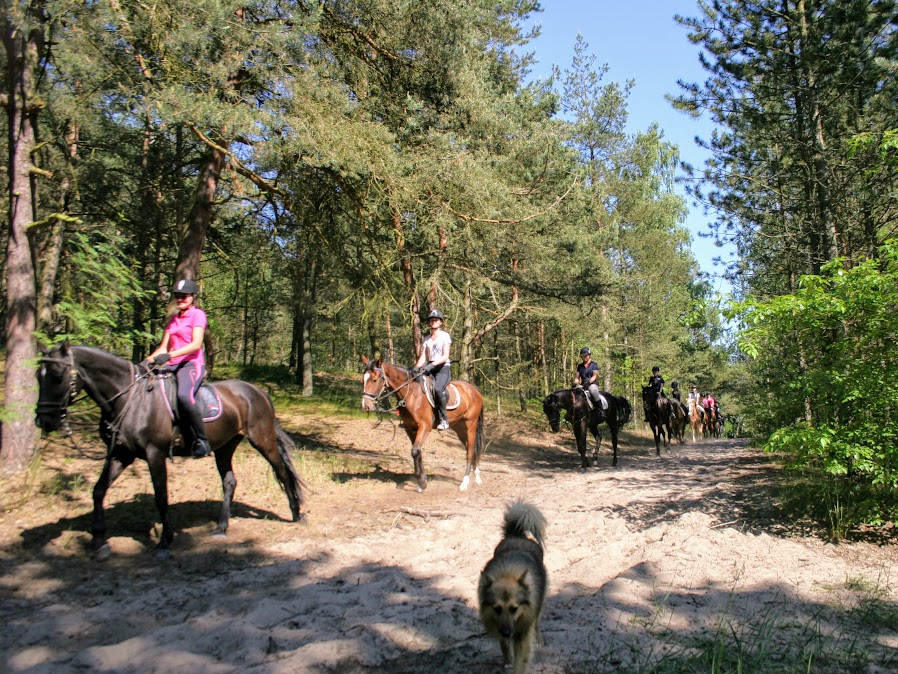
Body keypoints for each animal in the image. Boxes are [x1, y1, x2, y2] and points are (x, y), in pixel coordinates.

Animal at [35, 342, 306, 556]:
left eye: (58, 376)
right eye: (39, 375)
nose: (44, 420)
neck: (129, 400)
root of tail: (257, 391)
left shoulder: (155, 454)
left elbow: (161, 495)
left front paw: (165, 539)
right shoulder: (121, 453)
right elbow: (99, 490)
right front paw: (99, 540)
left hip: (263, 440)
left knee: (283, 472)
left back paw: (297, 514)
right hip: (224, 446)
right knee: (229, 481)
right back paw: (221, 527)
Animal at [358, 354, 484, 490]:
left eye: (375, 380)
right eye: (363, 380)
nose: (366, 406)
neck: (412, 394)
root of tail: (474, 389)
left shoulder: (425, 426)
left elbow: (415, 451)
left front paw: (421, 481)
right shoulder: (410, 428)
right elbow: (417, 452)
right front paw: (421, 480)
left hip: (470, 425)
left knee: (470, 450)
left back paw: (465, 482)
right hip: (459, 428)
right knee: (470, 448)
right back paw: (477, 476)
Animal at [476, 502, 544, 668]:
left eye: (514, 608)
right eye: (497, 608)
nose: (507, 633)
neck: (507, 574)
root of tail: (517, 535)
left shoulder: (522, 632)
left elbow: (521, 660)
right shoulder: (498, 624)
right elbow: (504, 645)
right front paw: (508, 660)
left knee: (537, 622)